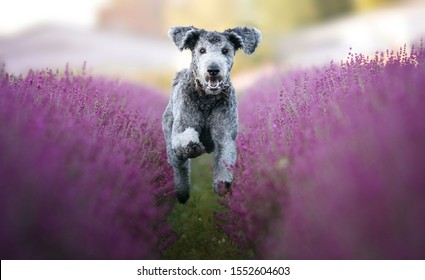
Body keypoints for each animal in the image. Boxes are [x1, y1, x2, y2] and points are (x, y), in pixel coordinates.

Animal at [162, 25, 262, 203]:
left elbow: (224, 158)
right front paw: (193, 145)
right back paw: (182, 194)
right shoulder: (179, 133)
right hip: (171, 145)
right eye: (202, 50)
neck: (207, 98)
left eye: (225, 50)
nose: (213, 69)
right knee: (180, 168)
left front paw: (222, 184)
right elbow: (186, 138)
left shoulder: (224, 134)